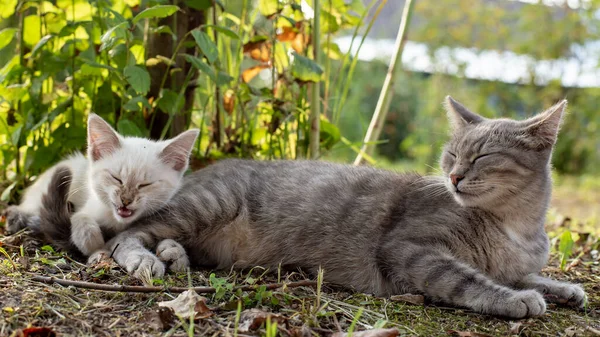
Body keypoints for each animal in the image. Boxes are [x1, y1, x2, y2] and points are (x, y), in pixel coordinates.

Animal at [2, 114, 199, 256]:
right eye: (116, 178)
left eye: (145, 184)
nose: (126, 200)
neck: (117, 223)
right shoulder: (88, 206)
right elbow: (79, 216)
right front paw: (92, 242)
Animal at [43, 96, 584, 316]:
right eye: (452, 155)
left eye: (483, 155)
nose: (453, 176)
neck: (517, 226)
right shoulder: (411, 250)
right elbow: (470, 280)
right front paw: (515, 299)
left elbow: (527, 273)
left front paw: (561, 287)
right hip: (205, 204)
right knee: (124, 237)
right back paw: (147, 259)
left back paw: (175, 254)